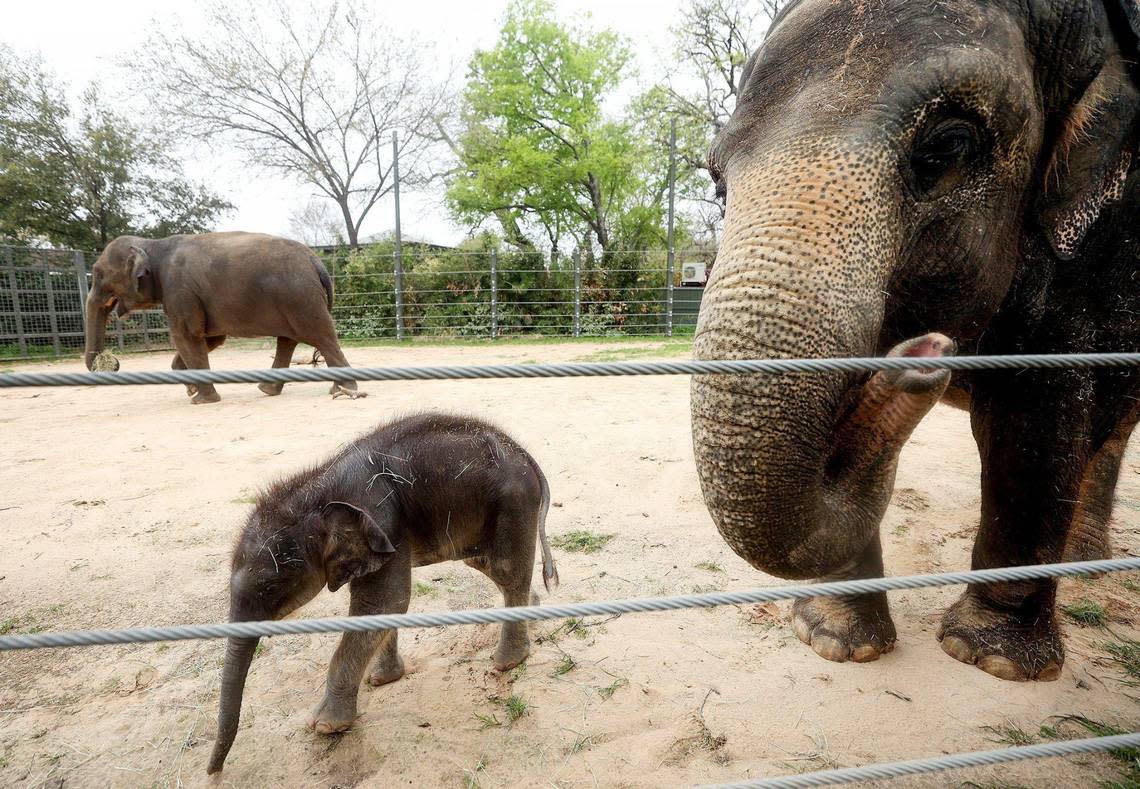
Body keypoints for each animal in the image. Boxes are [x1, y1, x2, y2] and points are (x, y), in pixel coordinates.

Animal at [83, 228, 360, 401]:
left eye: (98, 274)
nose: (112, 363)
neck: (152, 244)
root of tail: (317, 262)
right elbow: (211, 338)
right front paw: (190, 389)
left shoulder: (180, 291)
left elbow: (187, 336)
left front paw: (201, 399)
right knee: (289, 340)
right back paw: (271, 390)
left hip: (300, 298)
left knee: (321, 337)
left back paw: (345, 390)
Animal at [209, 415, 560, 775]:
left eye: (270, 588)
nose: (214, 772)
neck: (316, 488)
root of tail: (524, 453)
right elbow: (386, 605)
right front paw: (382, 679)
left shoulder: (384, 524)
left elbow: (384, 601)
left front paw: (325, 726)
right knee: (484, 563)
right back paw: (531, 615)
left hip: (513, 503)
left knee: (504, 570)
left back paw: (507, 662)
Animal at [688, 0, 1140, 679]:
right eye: (718, 183)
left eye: (948, 145)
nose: (923, 355)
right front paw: (836, 641)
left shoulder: (1095, 254)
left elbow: (1038, 418)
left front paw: (992, 659)